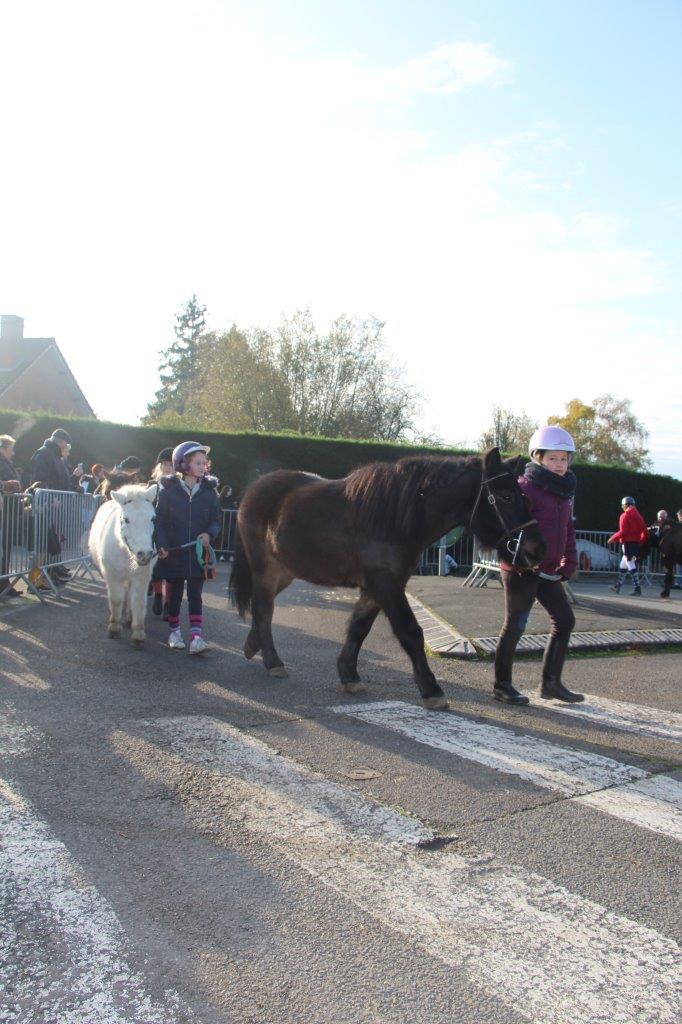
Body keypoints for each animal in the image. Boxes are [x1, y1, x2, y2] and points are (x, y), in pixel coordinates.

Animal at [86, 483, 156, 643]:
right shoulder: (112, 576)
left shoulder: (141, 577)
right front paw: (114, 627)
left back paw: (129, 618)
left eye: (152, 518)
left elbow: (138, 601)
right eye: (126, 519)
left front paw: (138, 632)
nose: (145, 554)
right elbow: (116, 599)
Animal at [231, 448, 544, 704]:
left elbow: (359, 628)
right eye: (506, 496)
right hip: (265, 569)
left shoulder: (377, 588)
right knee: (264, 608)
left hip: (284, 571)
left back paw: (253, 644)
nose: (537, 549)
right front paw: (431, 689)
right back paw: (272, 661)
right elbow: (410, 631)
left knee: (263, 607)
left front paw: (349, 674)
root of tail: (254, 489)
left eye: (522, 495)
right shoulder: (385, 584)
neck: (396, 517)